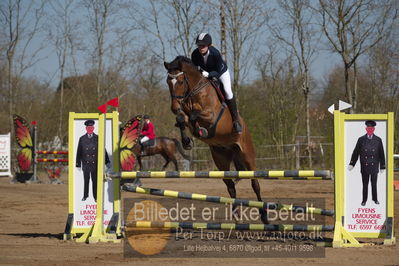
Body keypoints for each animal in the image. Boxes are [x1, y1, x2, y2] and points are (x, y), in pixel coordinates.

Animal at [162, 56, 268, 224]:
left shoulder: (211, 114)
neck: (194, 91)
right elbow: (182, 119)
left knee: (255, 183)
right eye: (167, 81)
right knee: (230, 186)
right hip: (221, 159)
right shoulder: (185, 114)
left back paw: (264, 216)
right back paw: (236, 216)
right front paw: (187, 141)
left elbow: (195, 115)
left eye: (180, 81)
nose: (174, 107)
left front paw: (201, 131)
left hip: (247, 155)